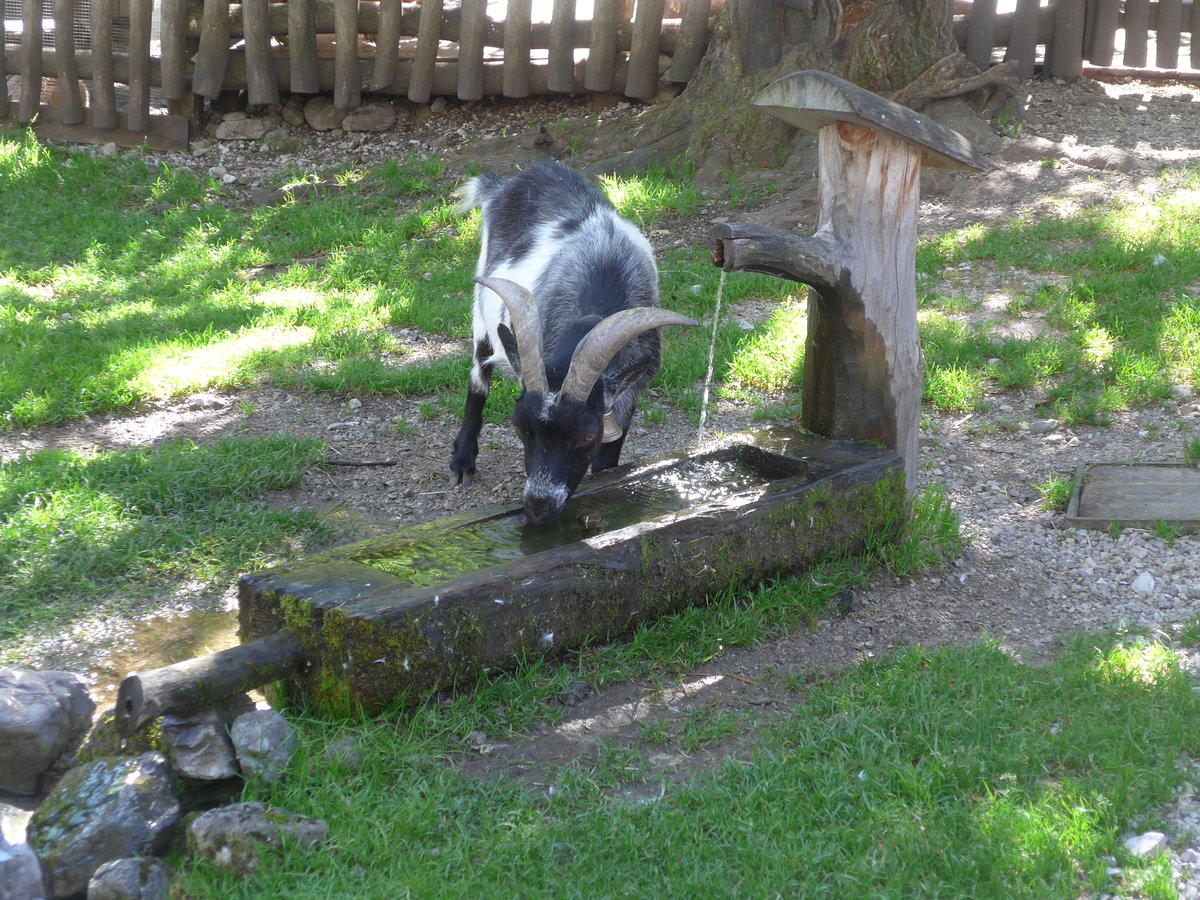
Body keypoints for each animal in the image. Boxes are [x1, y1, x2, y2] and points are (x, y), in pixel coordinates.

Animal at [452, 159, 697, 525]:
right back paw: (463, 460)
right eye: (520, 428)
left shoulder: (627, 395)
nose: (537, 508)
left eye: (586, 437)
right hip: (483, 306)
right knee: (479, 374)